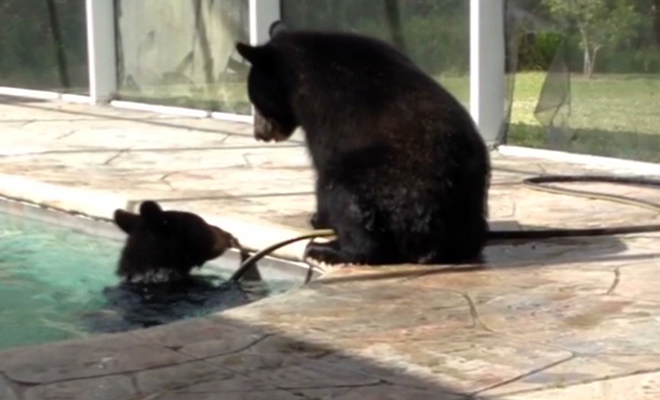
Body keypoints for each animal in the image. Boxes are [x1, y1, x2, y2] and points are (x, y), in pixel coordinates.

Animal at [236, 26, 490, 268]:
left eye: (255, 98)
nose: (259, 134)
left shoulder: (324, 112)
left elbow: (322, 164)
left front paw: (318, 218)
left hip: (378, 180)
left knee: (344, 196)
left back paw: (327, 249)